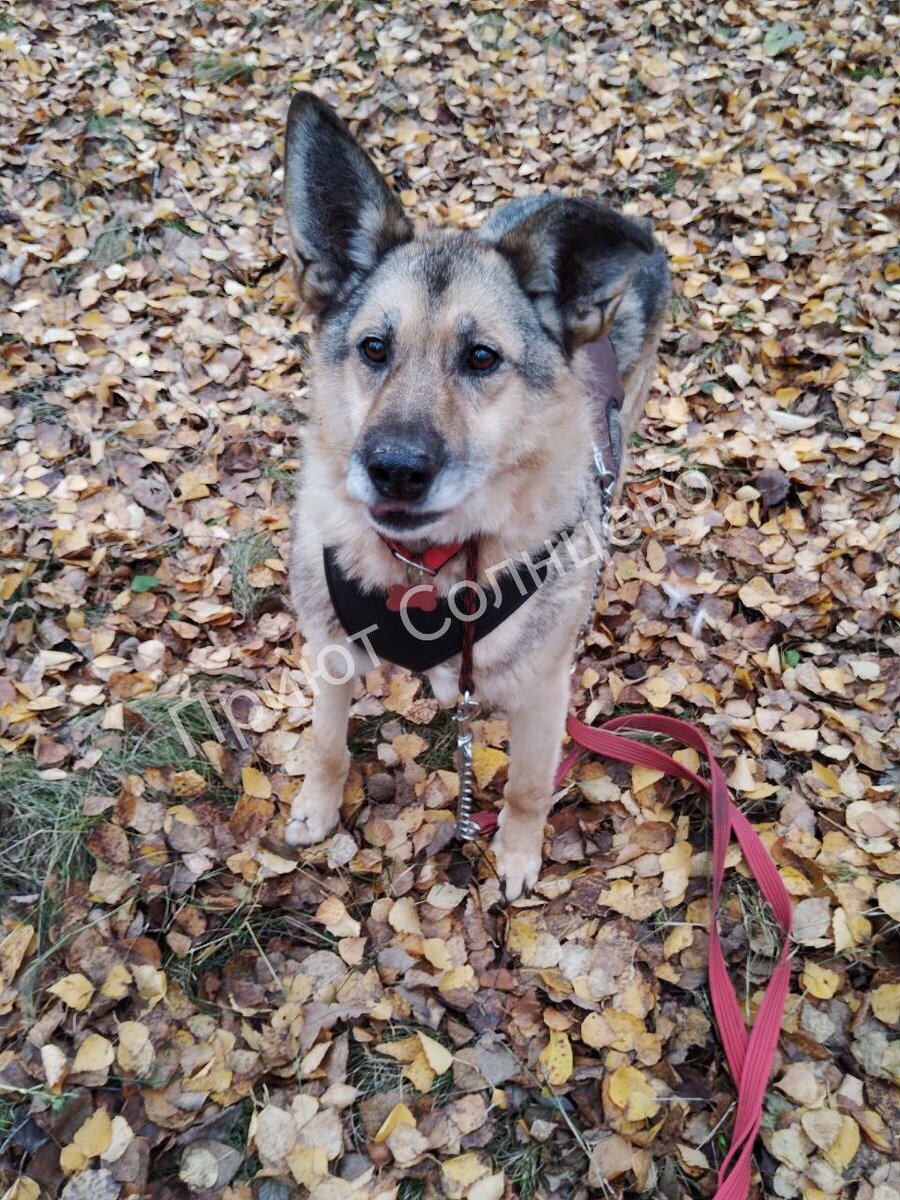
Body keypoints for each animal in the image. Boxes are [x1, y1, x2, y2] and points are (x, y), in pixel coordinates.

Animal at [282, 96, 672, 902]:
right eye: (373, 348)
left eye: (482, 358)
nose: (395, 471)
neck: (426, 571)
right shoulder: (330, 653)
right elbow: (327, 744)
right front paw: (318, 805)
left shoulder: (543, 694)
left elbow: (526, 787)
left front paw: (518, 855)